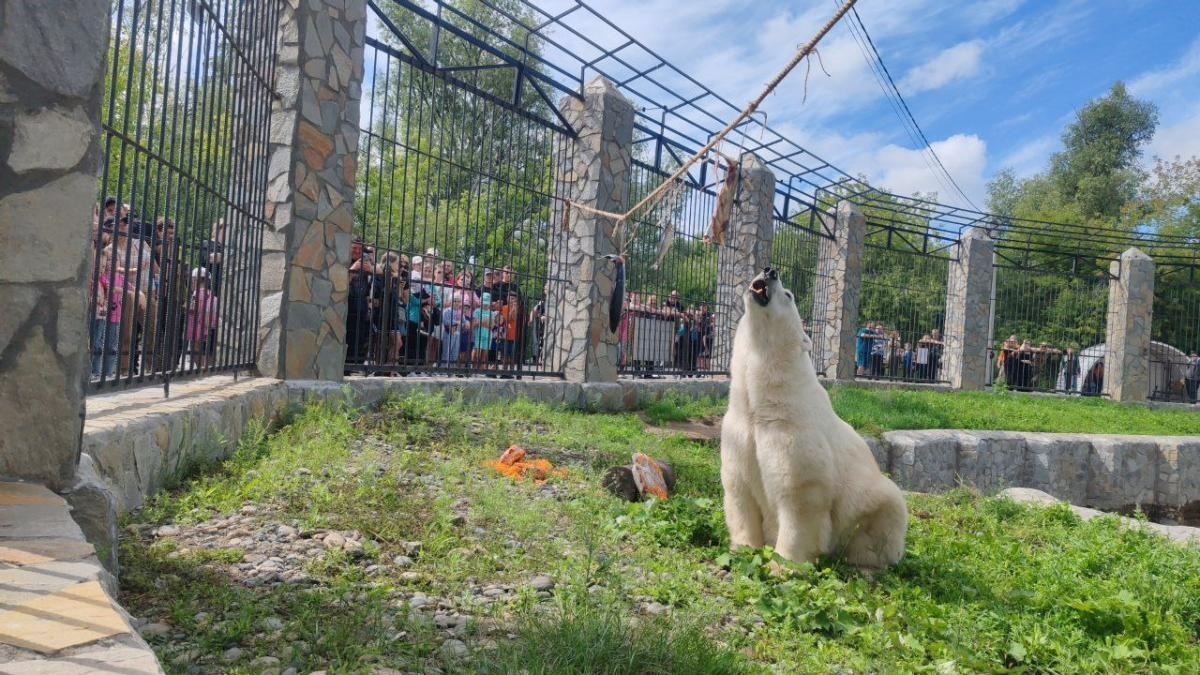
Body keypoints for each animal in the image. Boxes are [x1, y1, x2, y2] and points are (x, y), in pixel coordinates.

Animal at [720, 267, 907, 569]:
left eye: (788, 295)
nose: (770, 270)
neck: (764, 405)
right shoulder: (739, 434)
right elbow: (740, 492)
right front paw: (741, 551)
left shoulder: (794, 434)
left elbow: (800, 497)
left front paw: (781, 566)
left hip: (876, 501)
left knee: (882, 521)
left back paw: (865, 566)